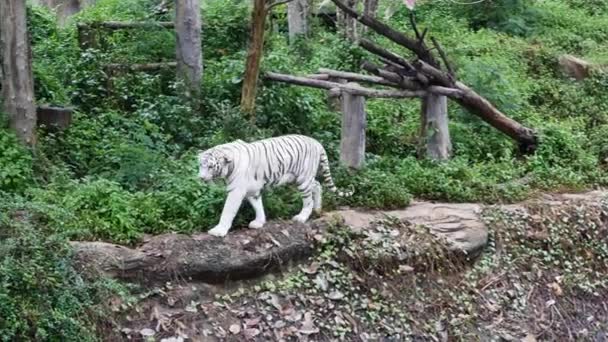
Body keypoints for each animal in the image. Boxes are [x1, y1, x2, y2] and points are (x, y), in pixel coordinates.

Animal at [197, 135, 354, 236]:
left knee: (308, 200)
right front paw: (259, 222)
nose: (201, 178)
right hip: (299, 178)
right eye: (200, 165)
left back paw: (302, 217)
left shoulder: (236, 191)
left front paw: (218, 231)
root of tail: (316, 142)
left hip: (302, 179)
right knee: (317, 184)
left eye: (210, 167)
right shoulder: (253, 190)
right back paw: (318, 208)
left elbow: (227, 211)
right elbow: (258, 206)